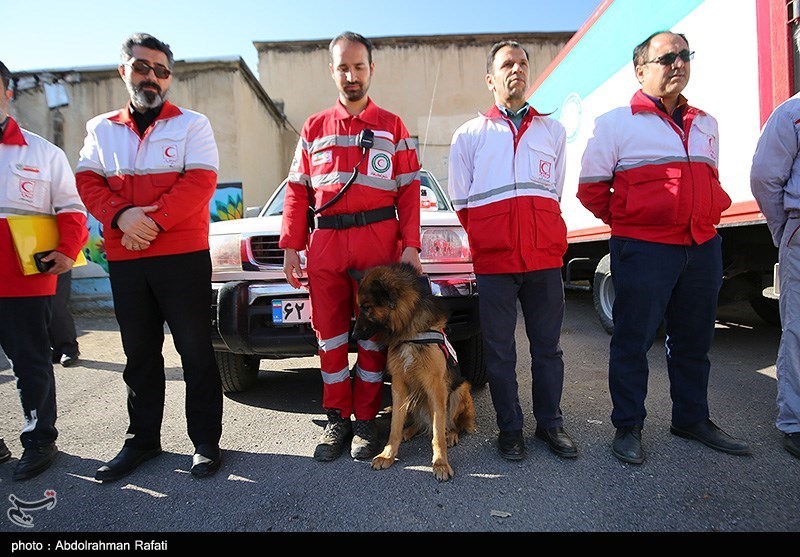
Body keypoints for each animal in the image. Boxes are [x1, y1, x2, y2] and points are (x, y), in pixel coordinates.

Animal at [352, 262, 476, 480]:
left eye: (367, 308)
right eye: (360, 308)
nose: (353, 334)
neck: (408, 329)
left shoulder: (436, 387)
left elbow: (437, 431)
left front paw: (440, 463)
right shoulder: (399, 384)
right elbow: (395, 424)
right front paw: (387, 454)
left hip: (460, 390)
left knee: (453, 424)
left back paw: (451, 434)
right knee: (419, 421)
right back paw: (408, 431)